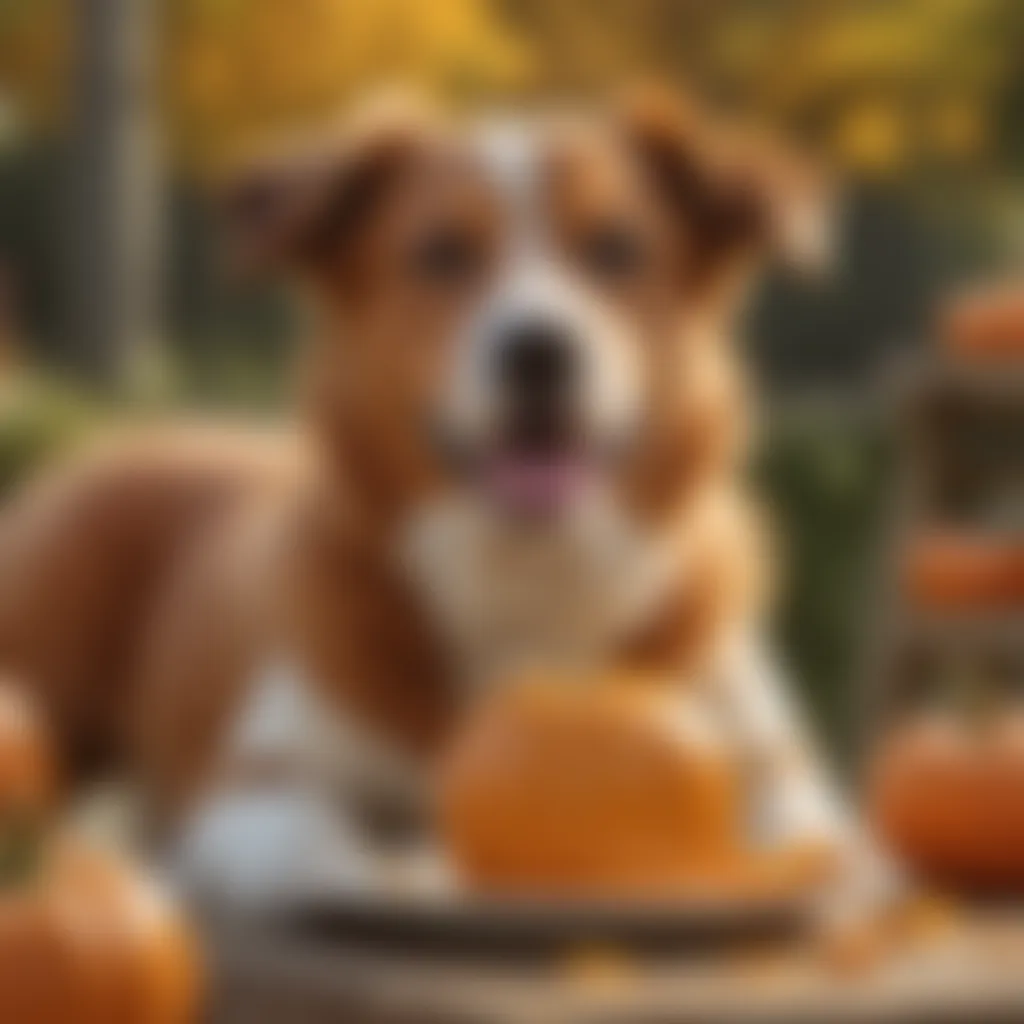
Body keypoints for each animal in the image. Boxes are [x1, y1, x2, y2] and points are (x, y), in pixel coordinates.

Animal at [0, 92, 856, 909]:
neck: (527, 578)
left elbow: (798, 843)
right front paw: (419, 869)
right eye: (441, 252)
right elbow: (340, 851)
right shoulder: (253, 794)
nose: (539, 350)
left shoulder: (780, 779)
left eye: (617, 248)